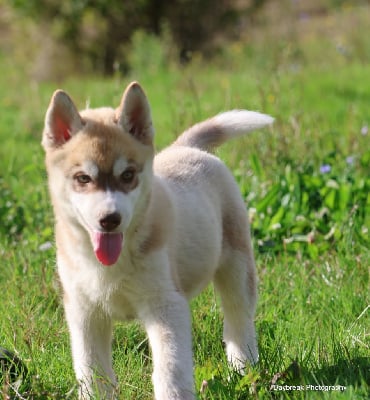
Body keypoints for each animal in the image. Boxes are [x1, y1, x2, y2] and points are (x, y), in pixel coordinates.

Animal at [42, 80, 274, 396]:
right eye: (83, 178)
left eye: (128, 175)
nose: (110, 219)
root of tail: (185, 147)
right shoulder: (84, 311)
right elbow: (92, 372)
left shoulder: (165, 304)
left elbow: (170, 369)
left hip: (236, 265)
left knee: (239, 318)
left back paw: (244, 369)